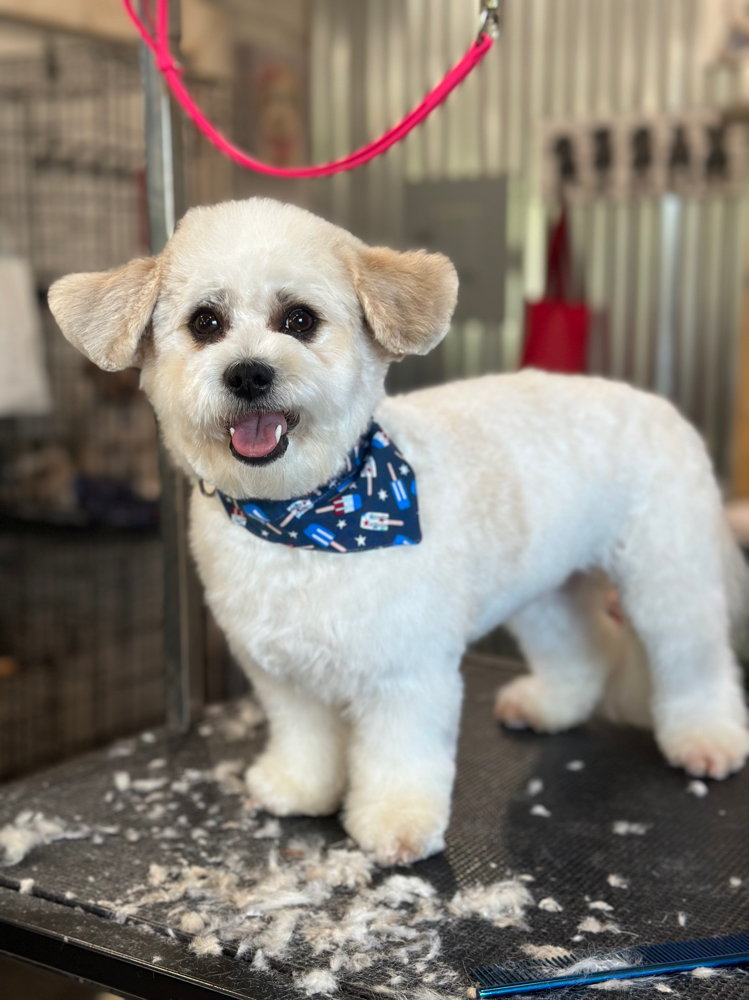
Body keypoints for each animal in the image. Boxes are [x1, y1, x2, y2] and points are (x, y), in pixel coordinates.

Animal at [48, 197, 748, 868]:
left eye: (298, 320)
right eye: (205, 323)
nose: (247, 373)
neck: (305, 519)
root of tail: (659, 405)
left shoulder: (406, 672)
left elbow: (399, 753)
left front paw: (395, 823)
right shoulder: (281, 670)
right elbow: (304, 735)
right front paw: (300, 788)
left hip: (668, 579)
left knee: (696, 662)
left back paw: (708, 739)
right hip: (547, 588)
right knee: (582, 647)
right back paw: (553, 705)